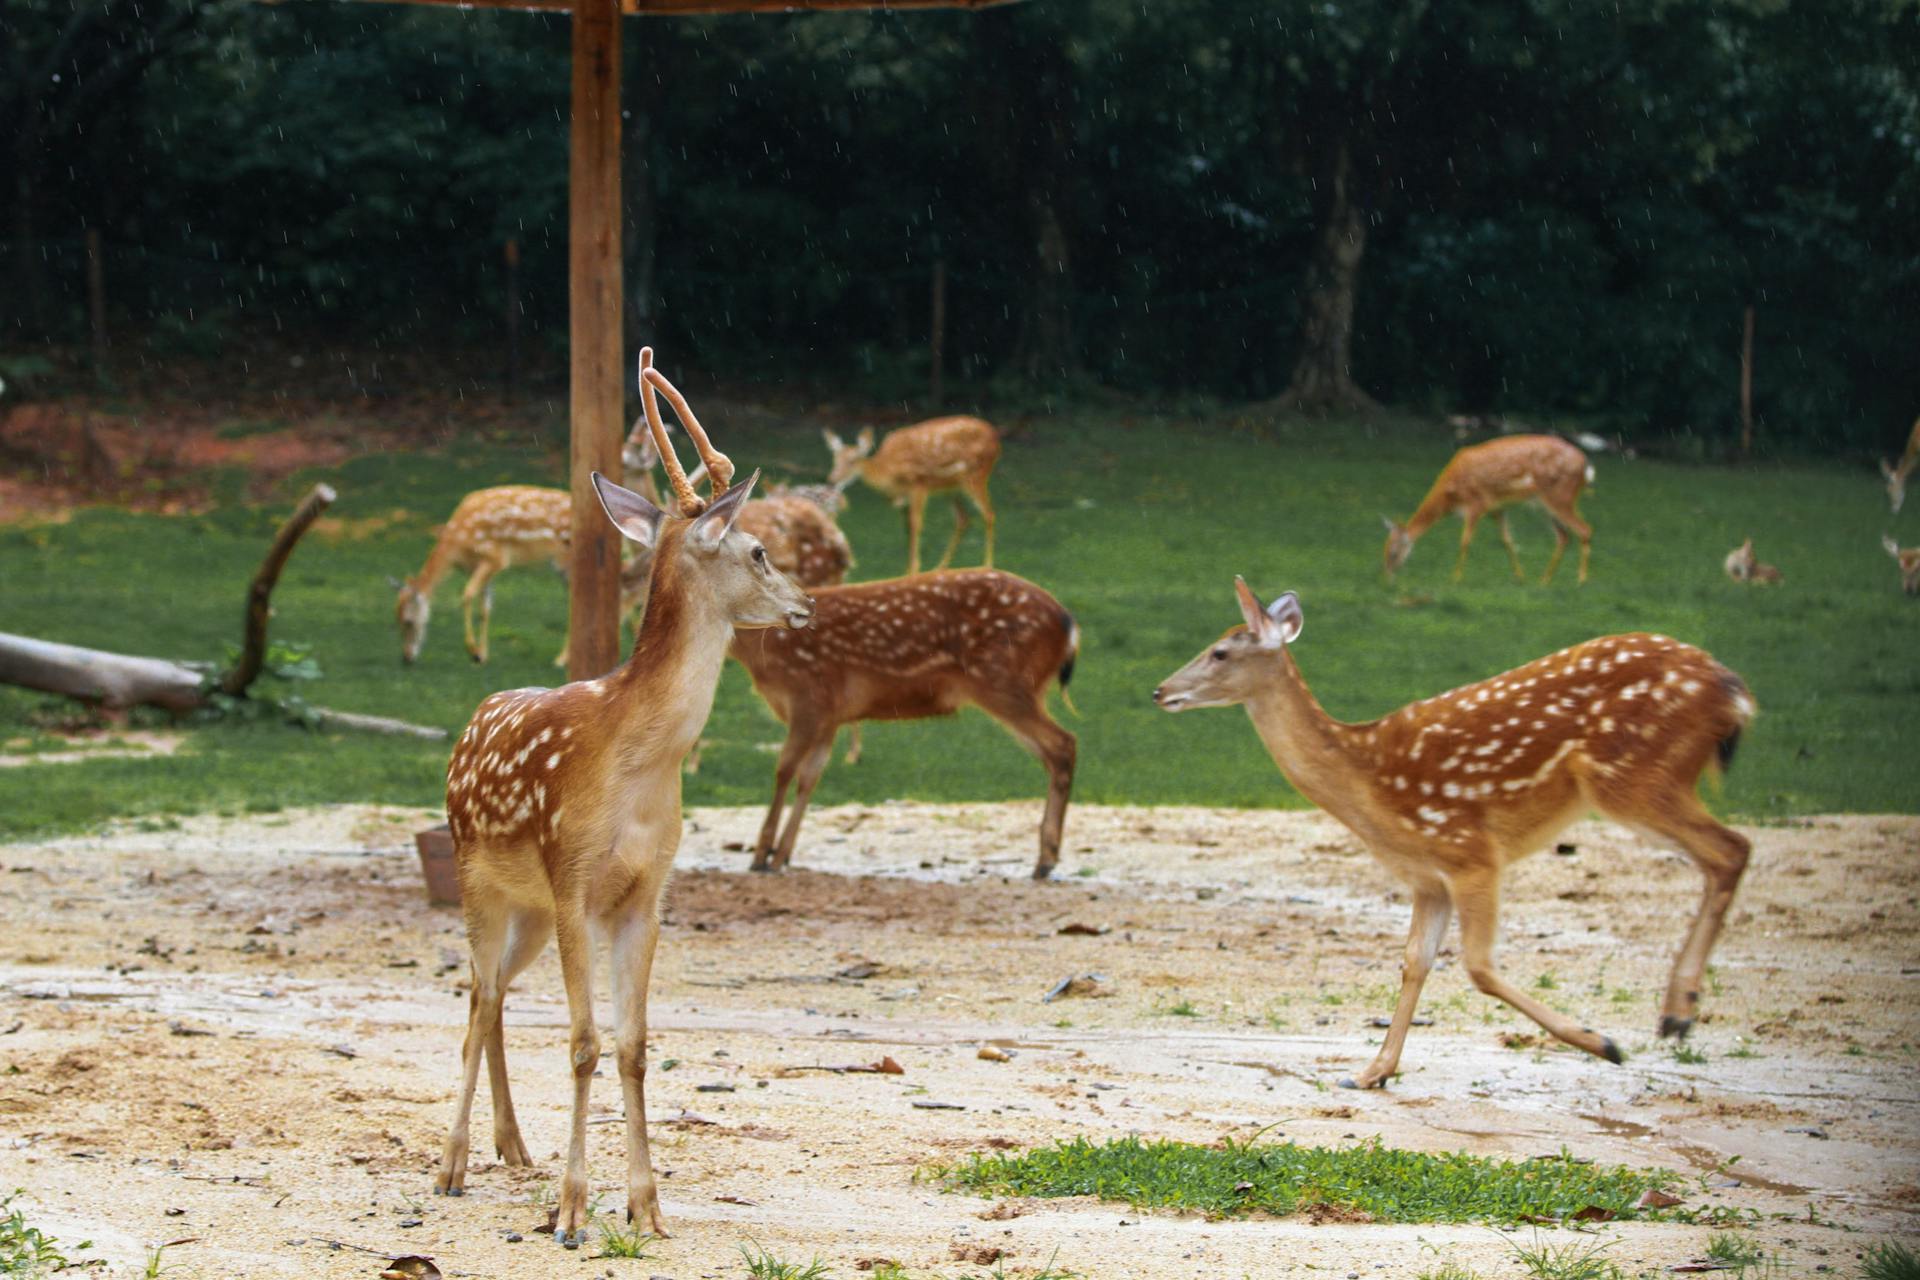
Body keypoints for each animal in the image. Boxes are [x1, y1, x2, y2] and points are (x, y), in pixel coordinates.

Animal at [432, 347, 814, 1243]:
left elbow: (635, 1046)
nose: (804, 605)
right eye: (757, 551)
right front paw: (572, 1211)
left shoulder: (645, 891)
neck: (637, 764)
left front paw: (646, 1206)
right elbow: (582, 1043)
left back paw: (512, 1148)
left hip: (529, 909)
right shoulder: (574, 875)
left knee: (493, 999)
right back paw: (454, 1163)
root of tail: (469, 724)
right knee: (479, 993)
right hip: (476, 875)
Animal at [729, 571, 1082, 882]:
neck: (760, 650)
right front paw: (781, 855)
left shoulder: (808, 697)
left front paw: (761, 856)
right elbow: (809, 778)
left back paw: (1045, 860)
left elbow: (784, 770)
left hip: (1003, 680)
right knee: (1054, 752)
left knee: (1063, 743)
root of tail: (1069, 625)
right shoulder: (830, 716)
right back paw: (1047, 858)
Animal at [825, 416, 1006, 575]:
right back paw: (939, 568)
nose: (832, 480)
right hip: (950, 487)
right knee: (963, 518)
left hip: (975, 474)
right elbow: (907, 527)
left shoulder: (918, 484)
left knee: (988, 514)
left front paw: (913, 570)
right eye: (834, 459)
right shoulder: (905, 497)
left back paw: (987, 566)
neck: (889, 472)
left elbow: (916, 524)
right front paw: (906, 572)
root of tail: (995, 437)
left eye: (852, 461)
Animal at [1152, 579, 1758, 1090]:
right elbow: (1413, 962)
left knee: (1732, 848)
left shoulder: (1471, 851)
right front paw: (1372, 1072)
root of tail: (1733, 690)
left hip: (1632, 776)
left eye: (1220, 652)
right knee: (1725, 853)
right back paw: (1678, 1013)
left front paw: (1602, 1042)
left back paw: (1677, 1012)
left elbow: (1479, 967)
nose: (1160, 691)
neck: (1367, 781)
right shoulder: (1428, 878)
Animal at [1390, 435, 1597, 587]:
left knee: (1585, 529)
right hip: (1545, 504)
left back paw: (1581, 580)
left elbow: (1465, 541)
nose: (1389, 575)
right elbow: (1507, 540)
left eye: (1392, 552)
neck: (1451, 497)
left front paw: (1455, 578)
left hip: (1560, 495)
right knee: (1564, 536)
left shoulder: (1477, 504)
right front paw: (1520, 577)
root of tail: (1585, 467)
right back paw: (1544, 581)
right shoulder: (1497, 509)